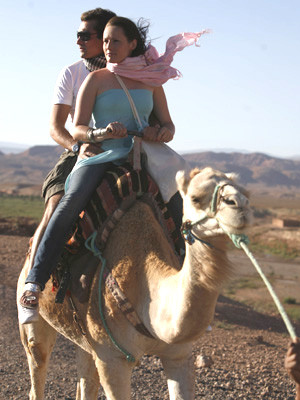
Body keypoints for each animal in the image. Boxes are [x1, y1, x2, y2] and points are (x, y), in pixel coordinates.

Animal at [16, 167, 251, 398]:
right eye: (195, 198)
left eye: (244, 191)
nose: (240, 207)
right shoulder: (112, 359)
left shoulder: (179, 355)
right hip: (37, 321)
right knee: (38, 360)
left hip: (85, 340)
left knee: (86, 377)